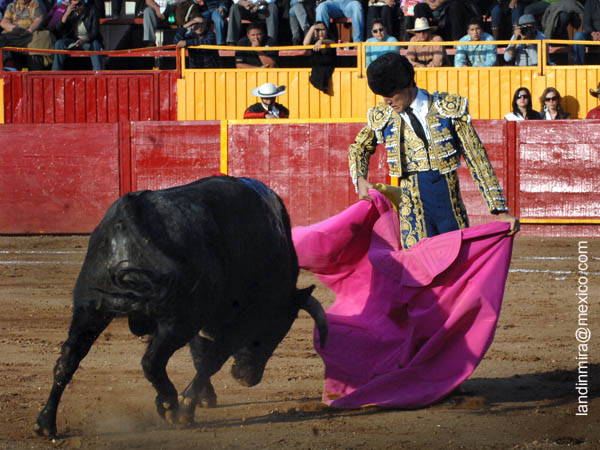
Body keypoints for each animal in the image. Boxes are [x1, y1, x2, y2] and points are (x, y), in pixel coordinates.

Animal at [34, 178, 328, 438]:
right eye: (274, 332)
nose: (248, 378)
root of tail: (128, 217)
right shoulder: (227, 323)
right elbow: (210, 359)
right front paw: (186, 408)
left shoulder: (202, 319)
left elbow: (199, 353)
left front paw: (203, 398)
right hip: (175, 320)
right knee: (151, 362)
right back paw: (170, 404)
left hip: (89, 307)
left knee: (67, 359)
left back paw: (45, 424)